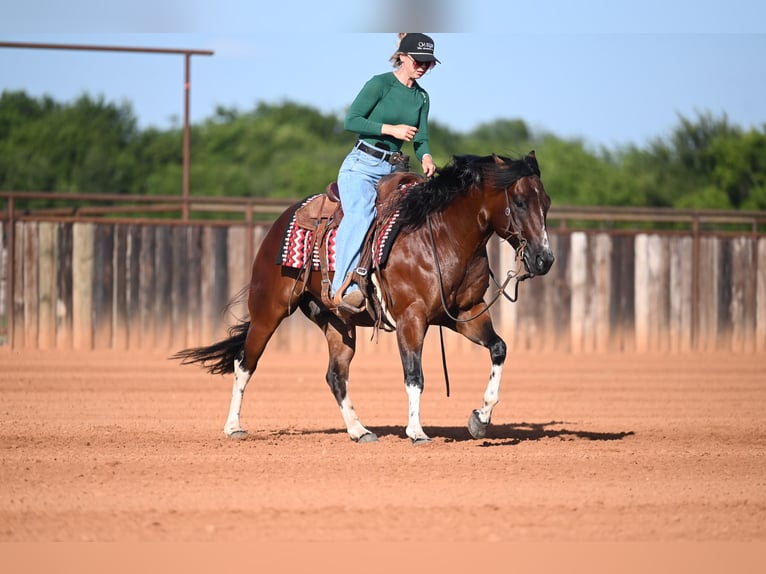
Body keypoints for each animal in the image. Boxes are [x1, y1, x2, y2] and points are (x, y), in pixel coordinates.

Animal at [173, 151, 554, 444]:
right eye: (520, 201)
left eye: (547, 203)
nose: (544, 259)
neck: (442, 234)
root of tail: (284, 219)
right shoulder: (412, 318)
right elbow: (414, 375)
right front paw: (416, 431)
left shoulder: (464, 314)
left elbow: (499, 349)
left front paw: (480, 418)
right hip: (269, 309)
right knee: (245, 363)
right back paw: (233, 427)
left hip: (337, 323)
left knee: (335, 376)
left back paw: (359, 430)